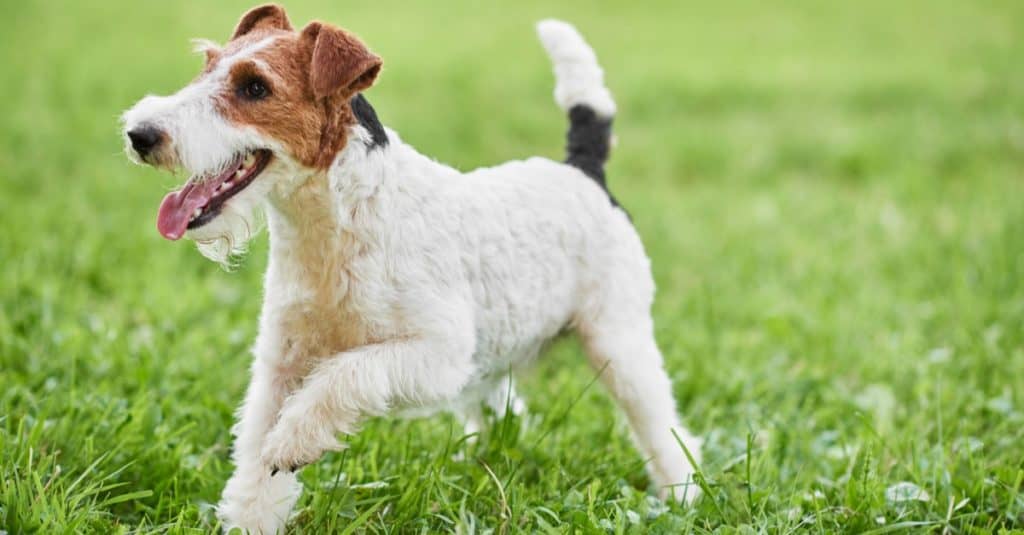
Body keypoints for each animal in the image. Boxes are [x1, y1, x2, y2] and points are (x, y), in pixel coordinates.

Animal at [119, 4, 700, 528]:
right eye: (208, 64)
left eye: (255, 87)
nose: (140, 135)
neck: (335, 223)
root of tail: (584, 170)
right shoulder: (280, 363)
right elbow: (256, 464)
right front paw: (251, 514)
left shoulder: (434, 354)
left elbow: (341, 377)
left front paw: (294, 441)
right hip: (499, 350)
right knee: (505, 410)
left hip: (616, 340)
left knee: (663, 426)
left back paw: (683, 495)